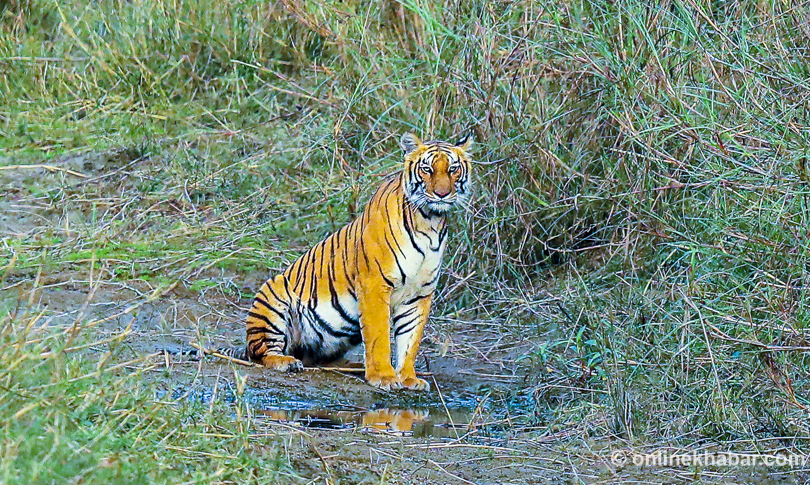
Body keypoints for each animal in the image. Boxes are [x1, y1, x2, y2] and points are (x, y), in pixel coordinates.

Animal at [245, 132, 474, 390]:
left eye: (453, 169)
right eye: (427, 169)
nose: (442, 194)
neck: (429, 222)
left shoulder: (419, 295)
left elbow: (410, 341)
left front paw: (408, 378)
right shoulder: (374, 284)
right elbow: (379, 335)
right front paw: (384, 376)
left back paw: (354, 366)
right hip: (272, 297)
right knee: (262, 352)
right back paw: (287, 362)